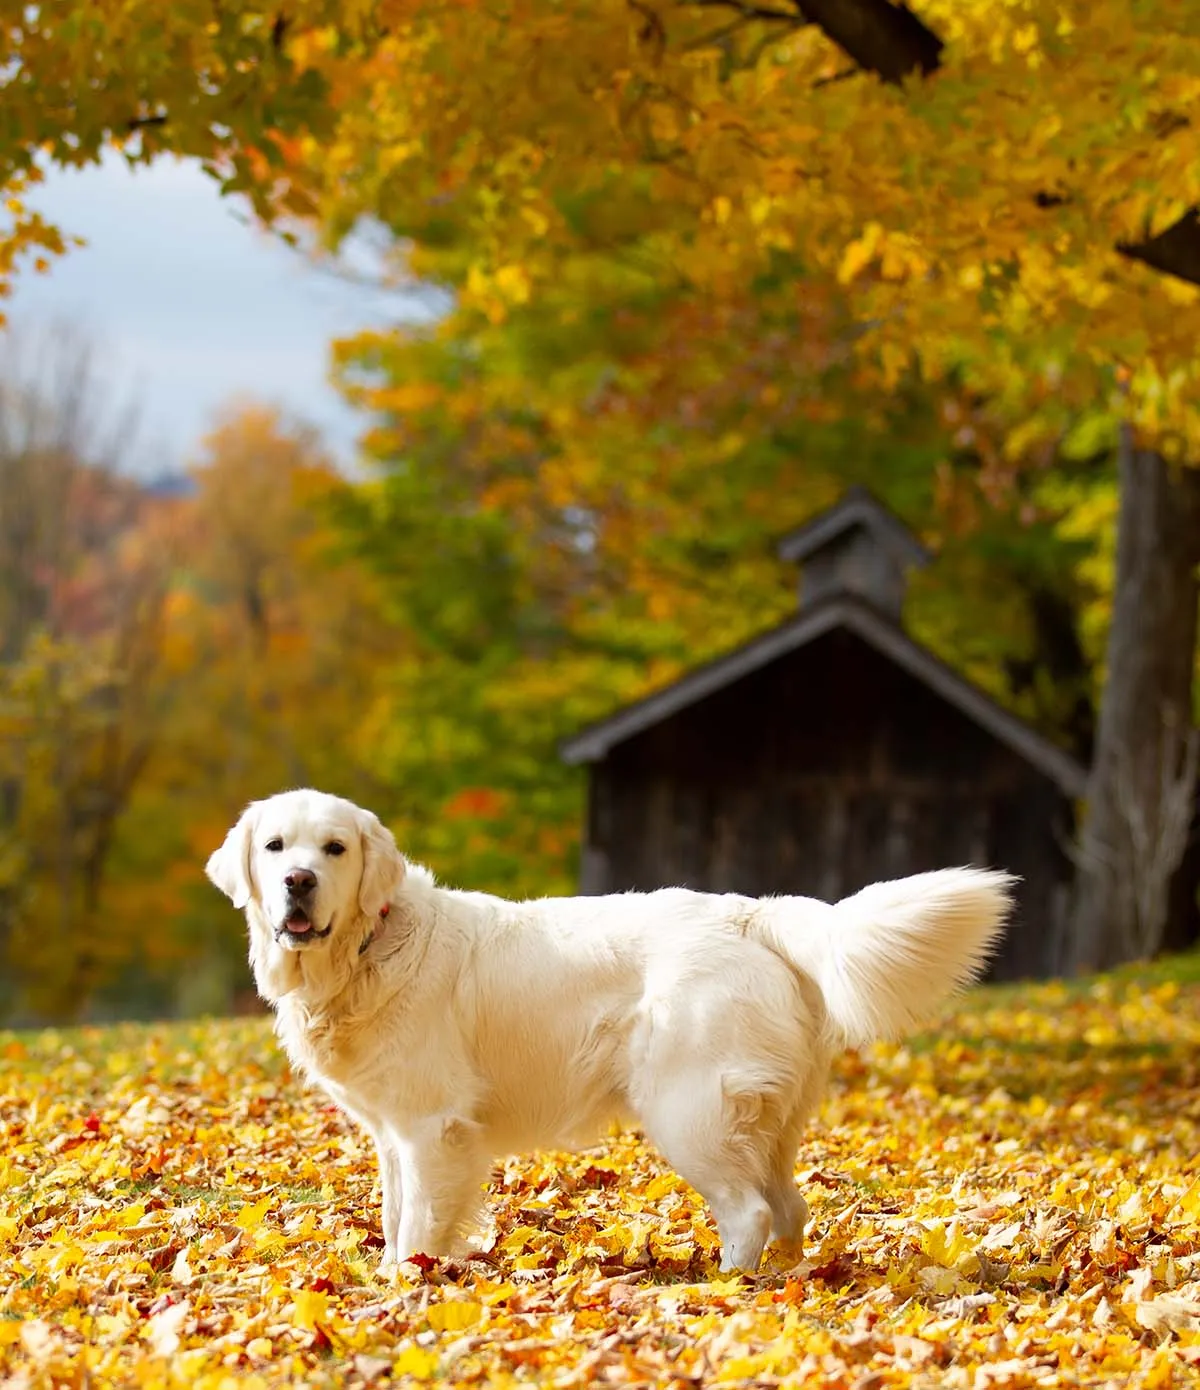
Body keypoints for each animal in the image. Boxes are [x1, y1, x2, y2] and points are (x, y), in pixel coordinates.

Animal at [208, 789, 1012, 1273]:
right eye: (276, 847)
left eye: (335, 849)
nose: (299, 883)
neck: (366, 948)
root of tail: (751, 912)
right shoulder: (395, 1131)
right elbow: (397, 1209)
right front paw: (391, 1279)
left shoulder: (433, 1127)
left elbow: (418, 1223)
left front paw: (411, 1285)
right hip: (766, 1122)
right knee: (790, 1205)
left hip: (690, 1112)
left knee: (749, 1210)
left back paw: (721, 1291)